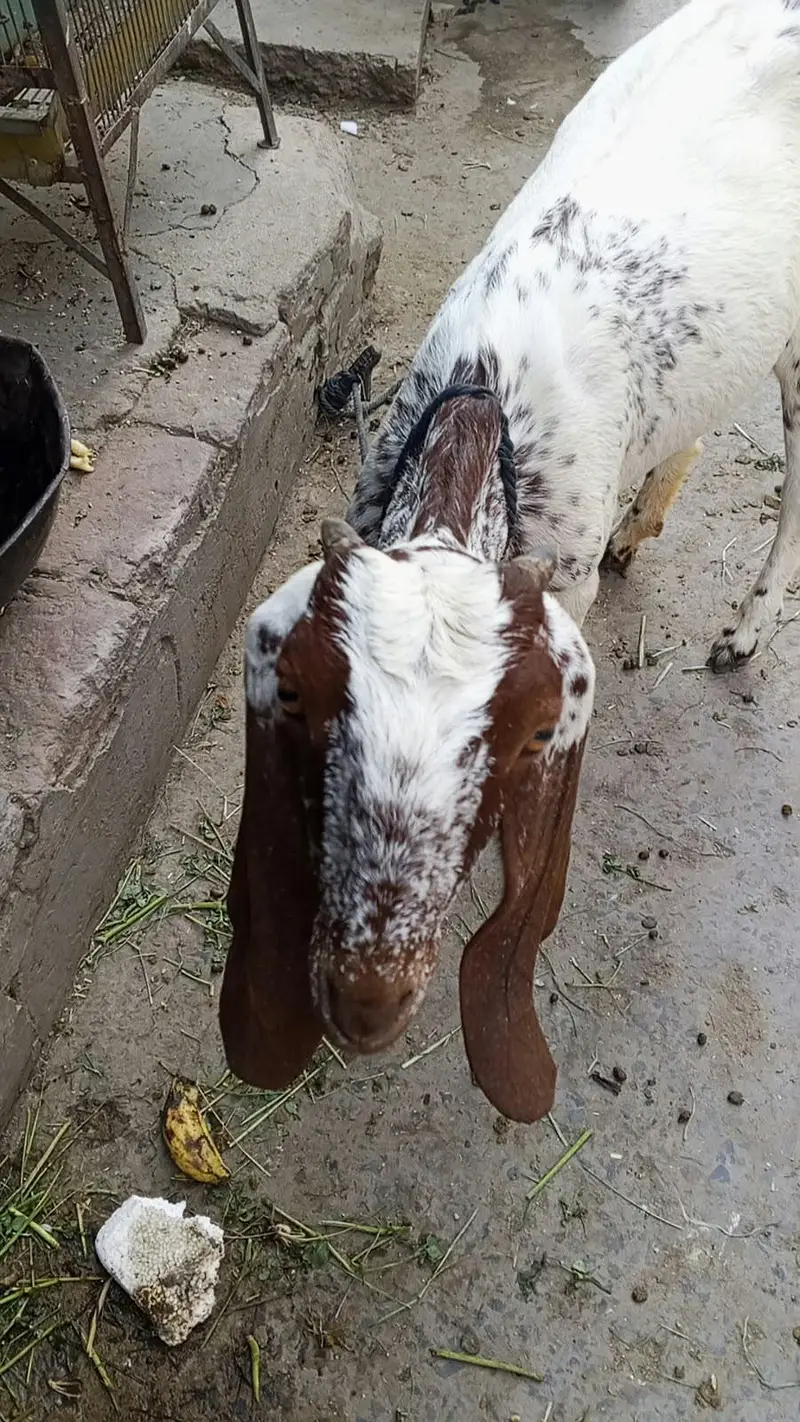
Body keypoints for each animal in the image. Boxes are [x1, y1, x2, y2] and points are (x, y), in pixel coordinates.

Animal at [221, 0, 800, 1123]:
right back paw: (641, 525)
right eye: (306, 698)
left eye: (530, 731)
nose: (365, 1004)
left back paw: (745, 628)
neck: (482, 411)